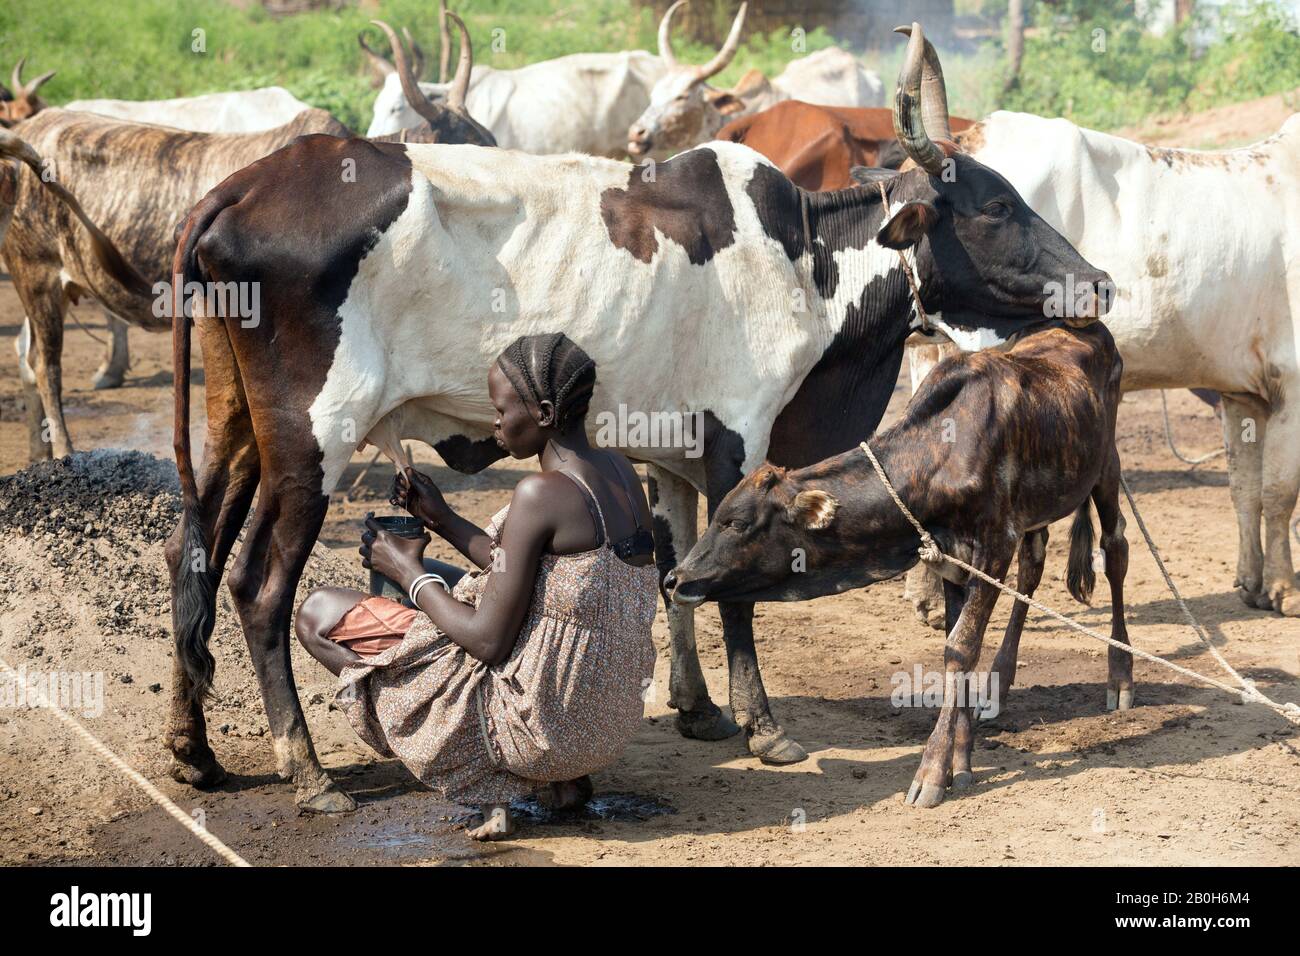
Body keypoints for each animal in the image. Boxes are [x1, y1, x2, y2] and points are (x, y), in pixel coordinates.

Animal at [665, 321, 1133, 806]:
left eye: (736, 522)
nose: (674, 578)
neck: (943, 453)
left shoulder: (994, 546)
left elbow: (960, 647)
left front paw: (932, 773)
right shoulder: (954, 560)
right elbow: (957, 645)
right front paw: (961, 763)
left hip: (1107, 468)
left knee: (1115, 550)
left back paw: (1120, 677)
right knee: (1034, 566)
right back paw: (1000, 683)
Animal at [909, 111, 1300, 621]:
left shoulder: (1242, 394)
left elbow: (1246, 490)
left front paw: (1253, 582)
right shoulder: (1291, 381)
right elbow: (1280, 492)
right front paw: (1285, 589)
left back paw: (929, 596)